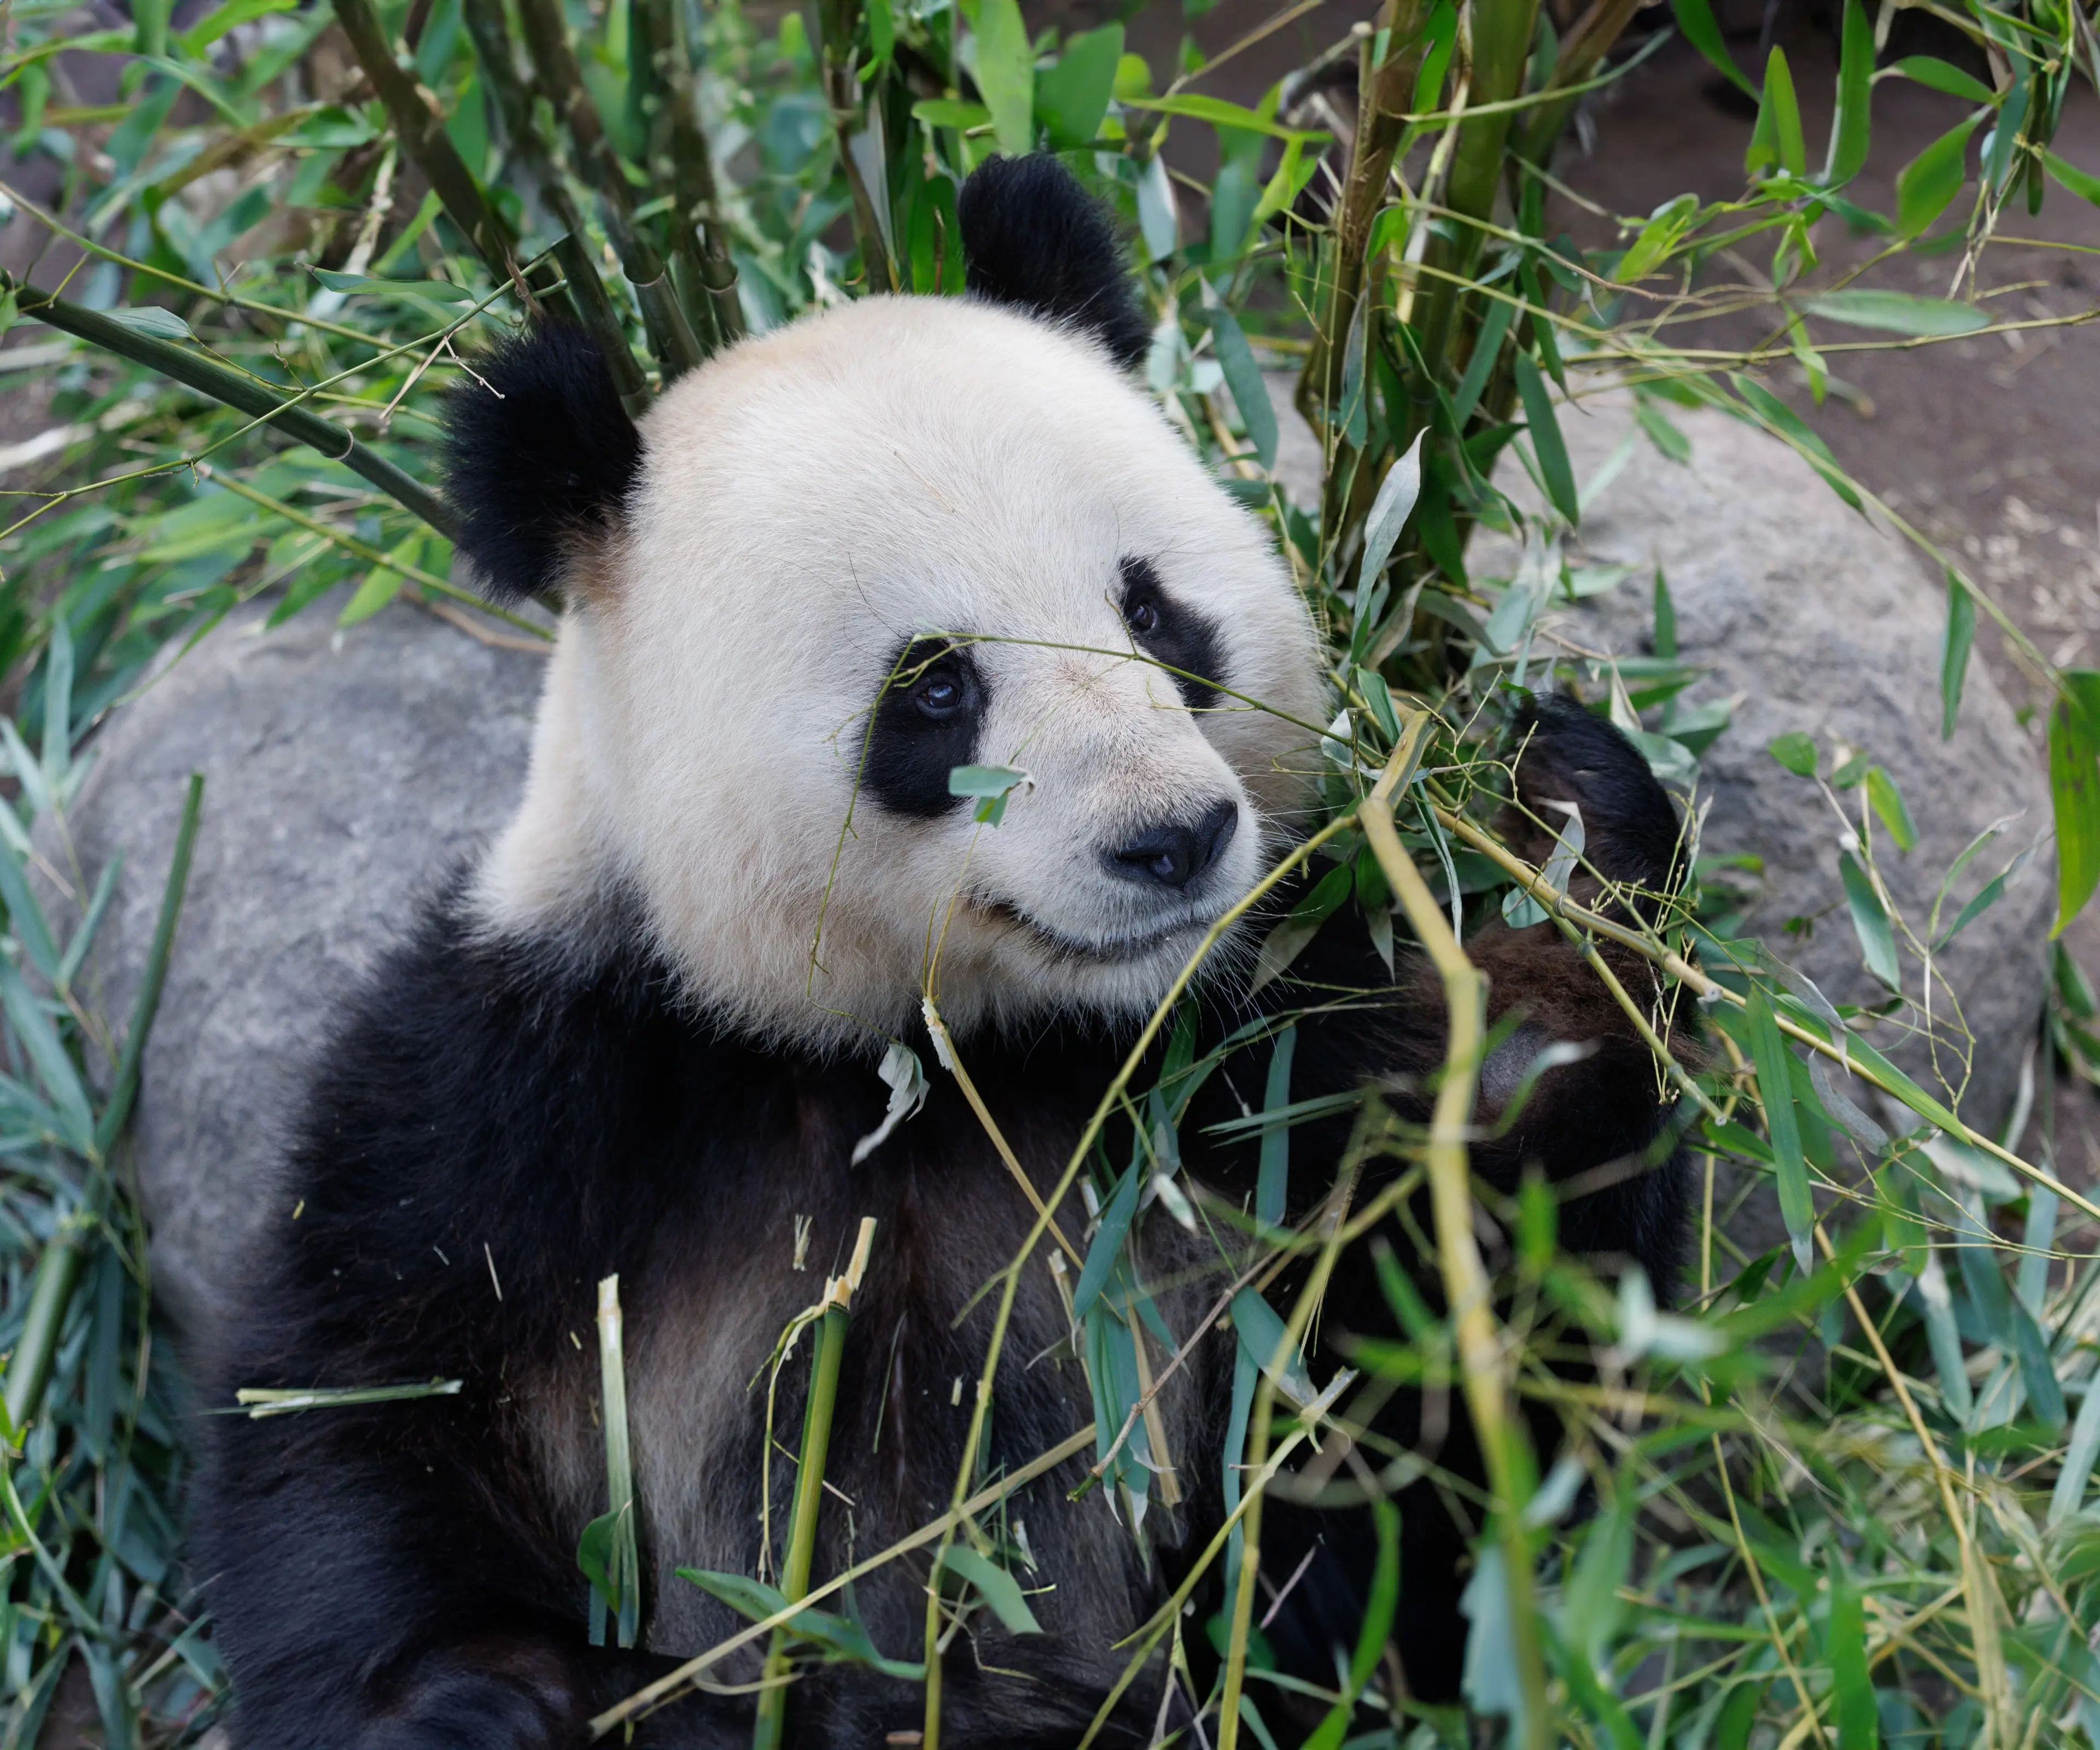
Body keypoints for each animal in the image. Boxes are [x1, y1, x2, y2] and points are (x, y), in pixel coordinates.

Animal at [194, 154, 1690, 1748]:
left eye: (1153, 611)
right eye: (933, 688)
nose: (1172, 840)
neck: (935, 1054)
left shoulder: (1255, 1069)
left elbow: (1431, 1442)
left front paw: (1557, 855)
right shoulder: (549, 1069)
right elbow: (361, 1391)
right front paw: (486, 1698)